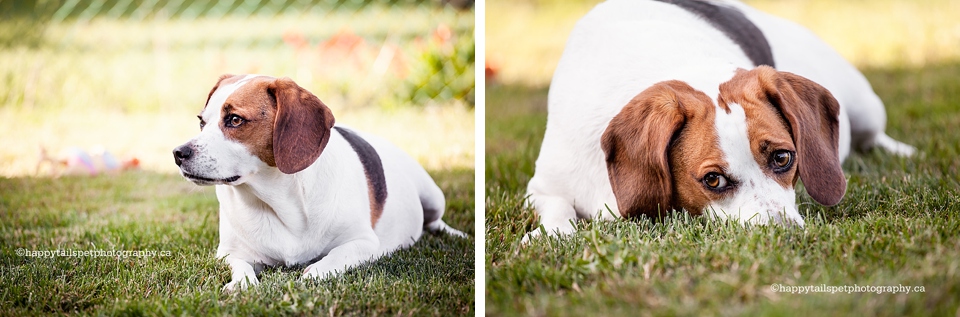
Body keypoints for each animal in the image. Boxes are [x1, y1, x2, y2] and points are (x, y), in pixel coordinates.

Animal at [177, 73, 472, 288]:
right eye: (202, 122)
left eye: (235, 120)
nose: (178, 153)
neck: (278, 200)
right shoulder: (230, 253)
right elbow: (242, 268)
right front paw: (241, 284)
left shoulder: (363, 242)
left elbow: (331, 259)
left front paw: (314, 273)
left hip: (433, 196)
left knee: (434, 222)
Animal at [524, 0, 916, 238]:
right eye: (713, 180)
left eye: (783, 158)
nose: (785, 234)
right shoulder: (542, 187)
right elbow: (558, 210)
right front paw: (552, 235)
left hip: (865, 107)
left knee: (873, 136)